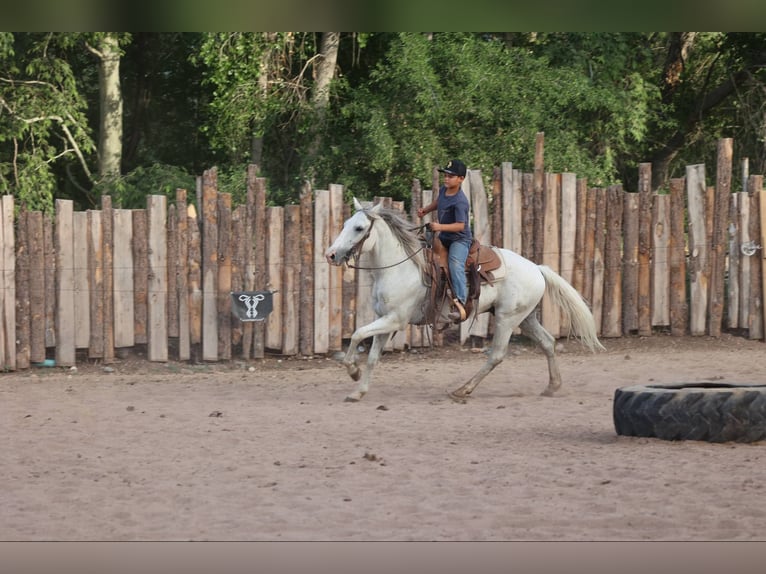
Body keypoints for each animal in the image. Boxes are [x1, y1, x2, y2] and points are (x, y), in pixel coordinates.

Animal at [324, 198, 604, 403]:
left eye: (359, 228)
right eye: (346, 223)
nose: (331, 254)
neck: (399, 268)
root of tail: (536, 268)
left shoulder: (395, 320)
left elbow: (358, 334)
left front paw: (352, 370)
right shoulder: (384, 319)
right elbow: (372, 355)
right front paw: (358, 391)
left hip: (507, 319)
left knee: (497, 355)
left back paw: (463, 390)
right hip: (525, 318)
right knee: (547, 343)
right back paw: (552, 386)